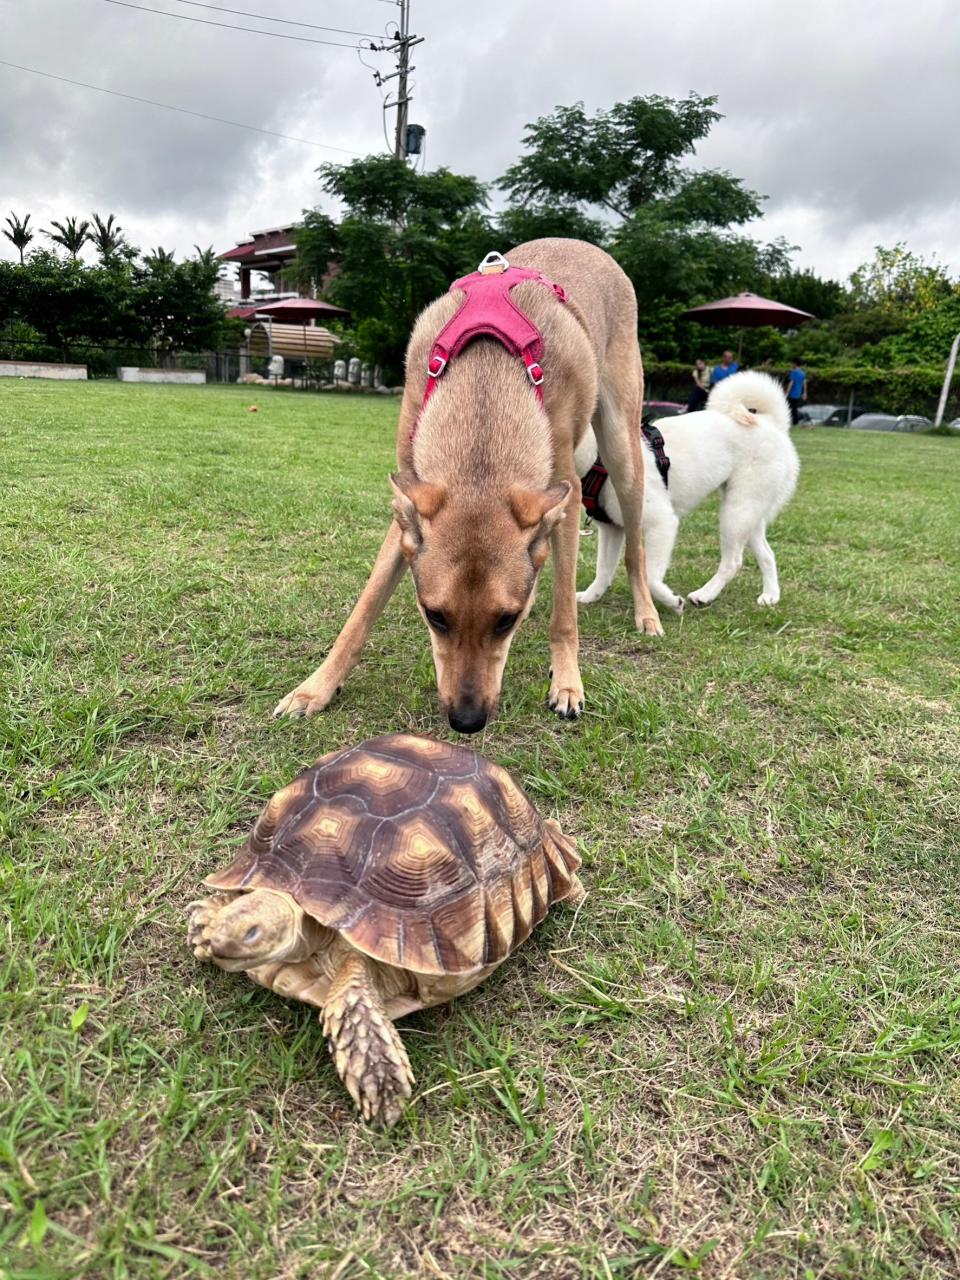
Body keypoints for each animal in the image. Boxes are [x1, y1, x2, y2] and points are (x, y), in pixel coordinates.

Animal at [273, 238, 665, 732]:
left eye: (506, 621)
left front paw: (567, 682)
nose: (466, 720)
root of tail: (584, 244)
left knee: (635, 547)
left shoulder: (567, 497)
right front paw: (315, 688)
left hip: (622, 454)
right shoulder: (407, 511)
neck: (485, 396)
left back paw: (646, 614)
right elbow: (362, 612)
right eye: (435, 616)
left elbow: (564, 617)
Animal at [578, 371, 803, 609]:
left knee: (733, 562)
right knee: (768, 555)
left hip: (736, 513)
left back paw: (705, 594)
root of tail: (771, 423)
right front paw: (591, 596)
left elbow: (651, 577)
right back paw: (770, 595)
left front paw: (671, 600)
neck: (598, 456)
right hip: (750, 515)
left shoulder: (661, 523)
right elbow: (603, 569)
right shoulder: (611, 530)